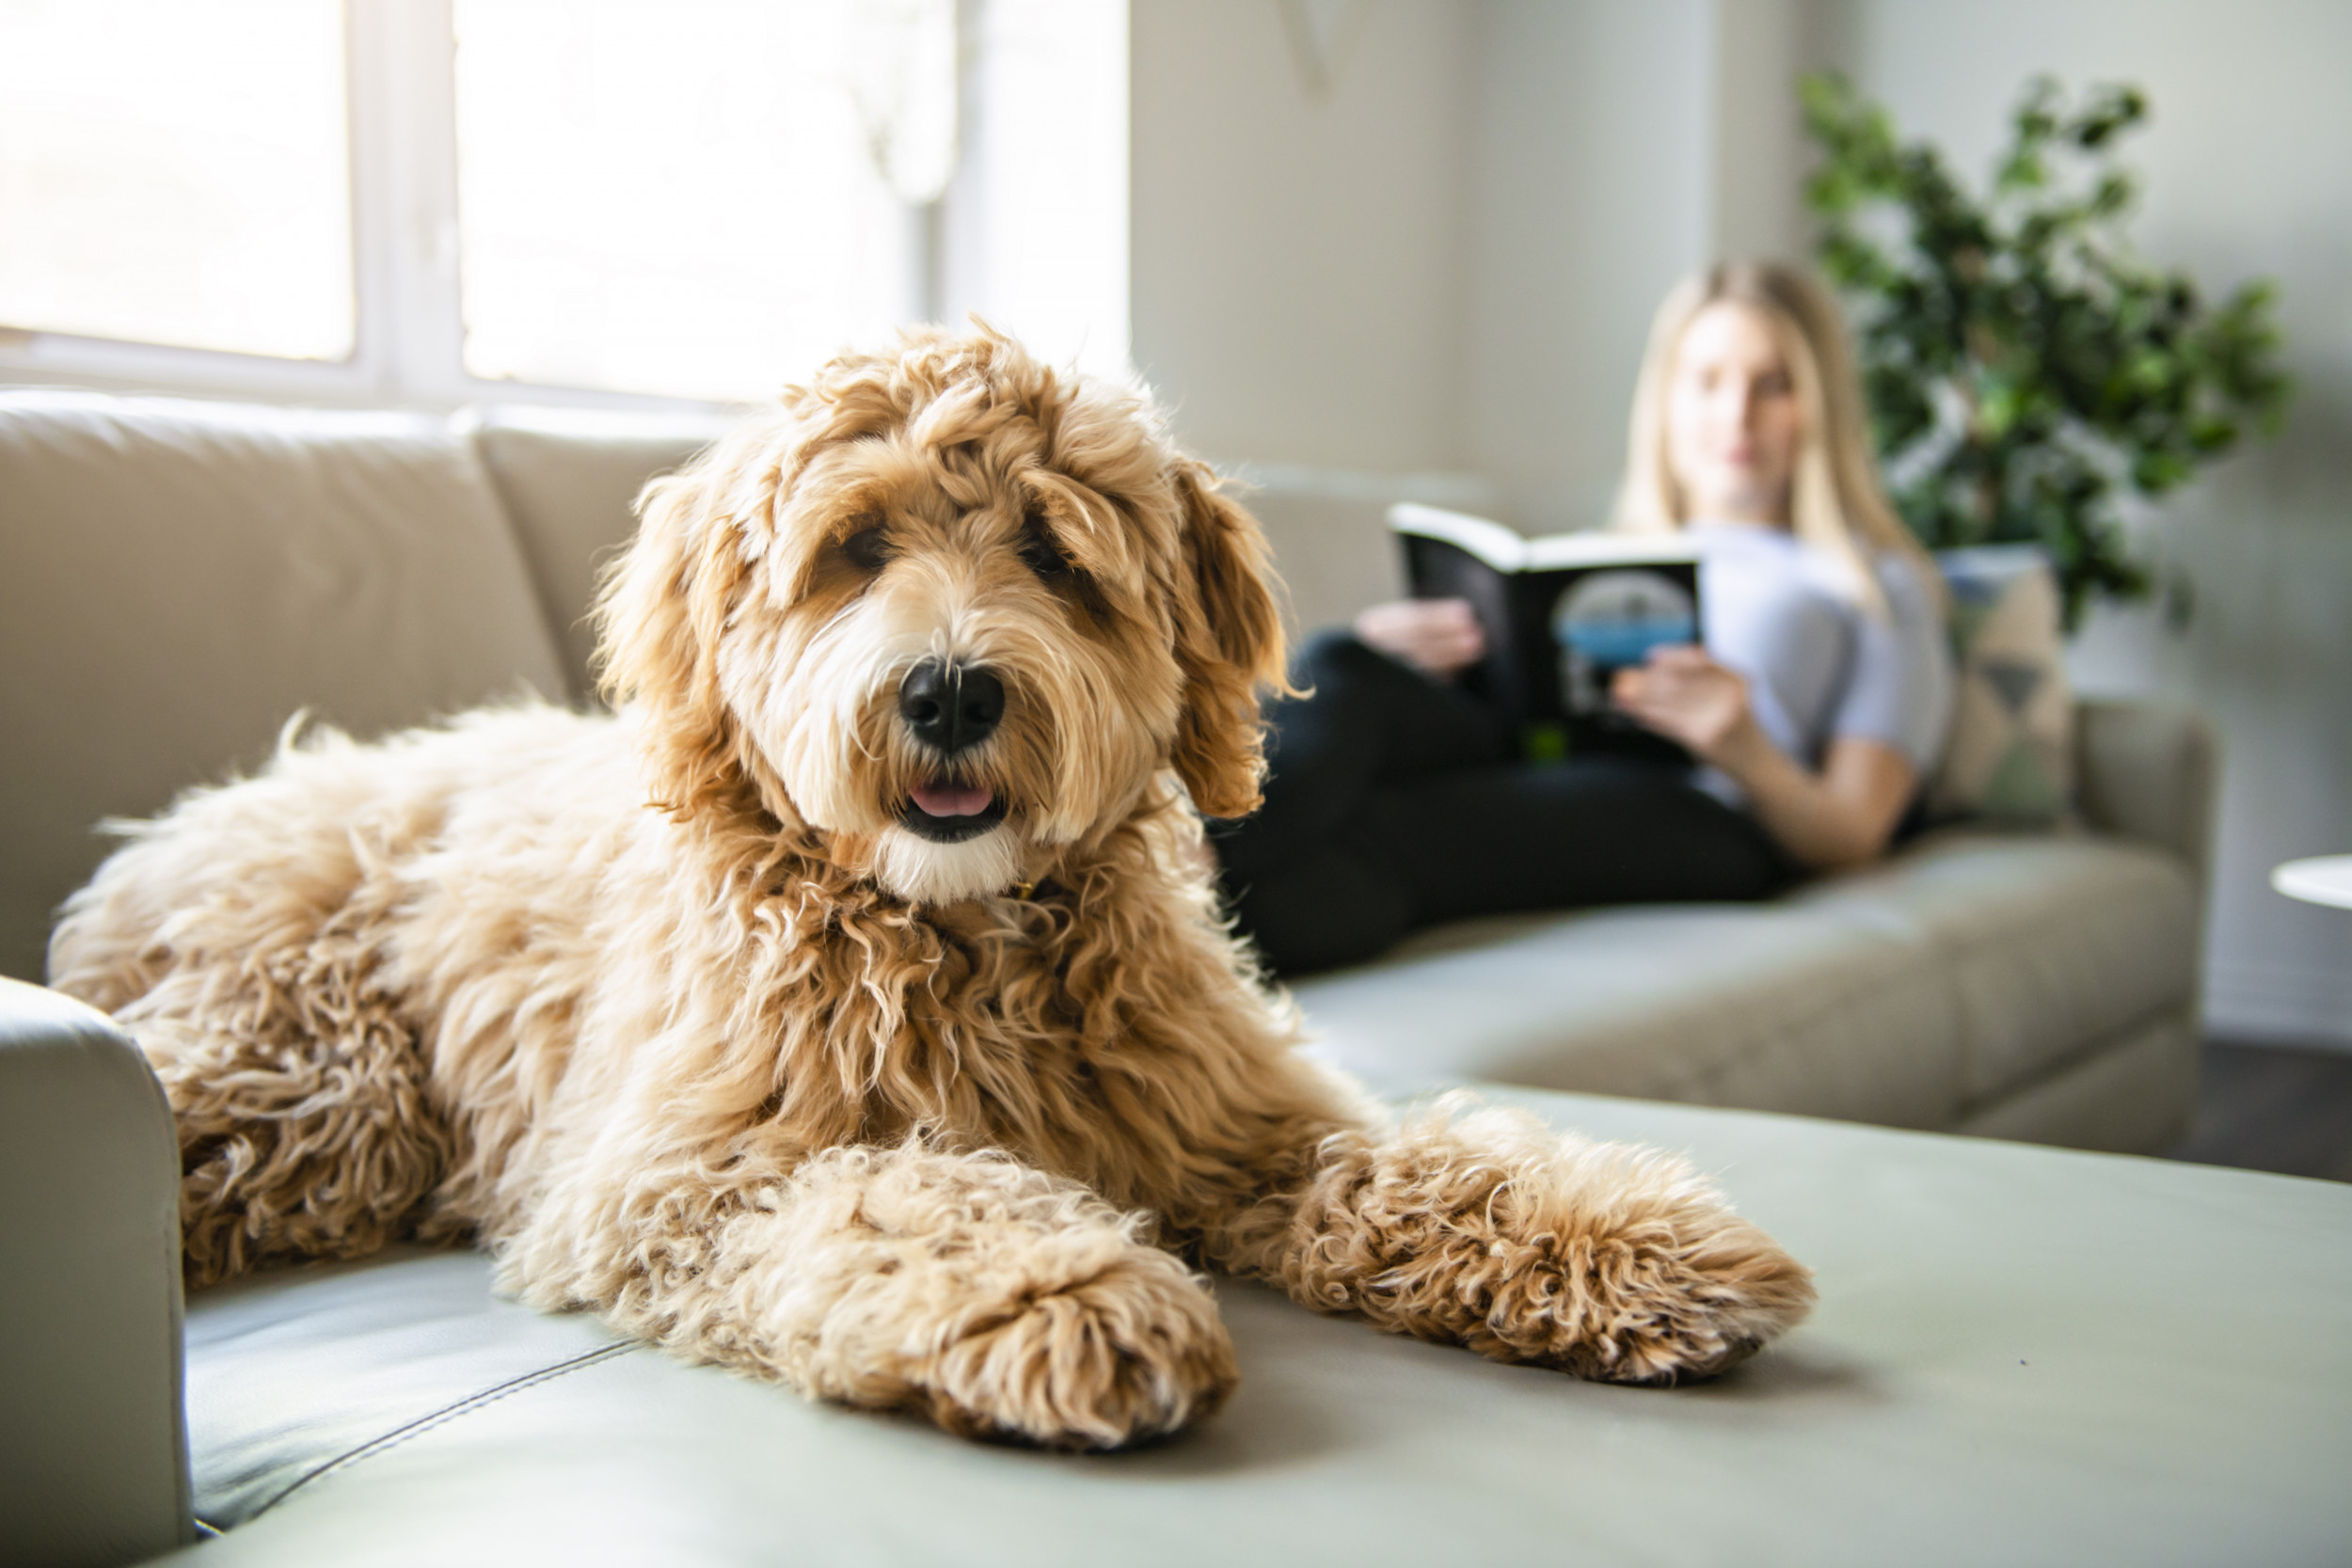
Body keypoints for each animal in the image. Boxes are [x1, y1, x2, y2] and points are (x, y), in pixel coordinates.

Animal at [50, 324, 1816, 1457]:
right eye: (854, 546)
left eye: (1053, 552)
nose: (952, 690)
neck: (960, 932)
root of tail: (193, 819)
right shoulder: (680, 1174)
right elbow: (899, 1191)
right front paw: (1064, 1289)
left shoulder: (1239, 1118)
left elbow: (1418, 1165)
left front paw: (1632, 1240)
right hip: (314, 1082)